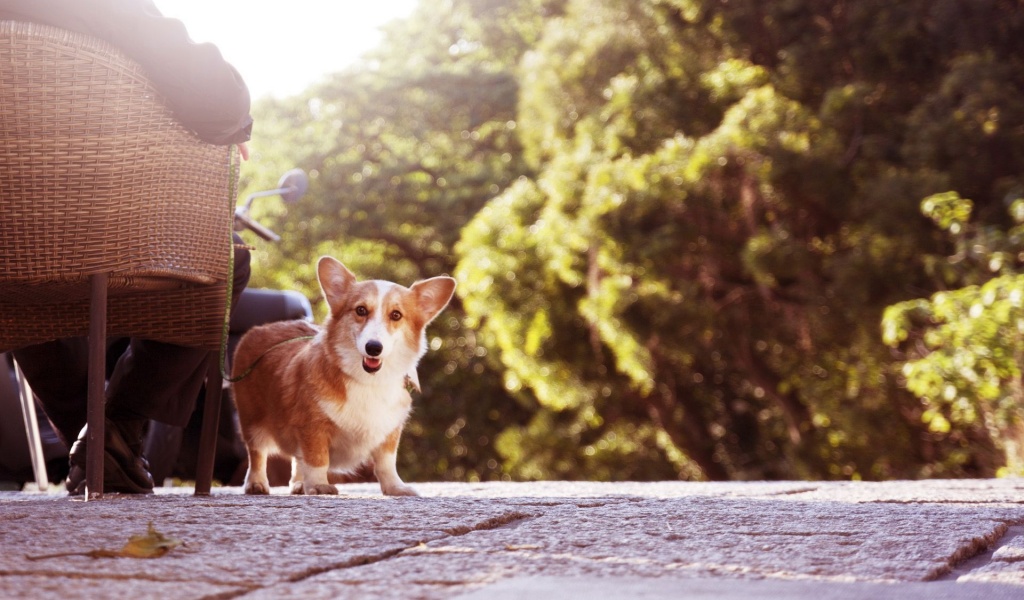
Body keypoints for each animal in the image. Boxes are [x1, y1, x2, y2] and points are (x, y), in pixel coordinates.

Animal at [234, 256, 458, 495]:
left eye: (396, 315)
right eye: (361, 310)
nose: (373, 348)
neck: (368, 382)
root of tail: (262, 328)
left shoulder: (390, 430)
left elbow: (387, 463)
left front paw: (395, 487)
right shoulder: (312, 427)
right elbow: (317, 459)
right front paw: (320, 485)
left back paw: (300, 484)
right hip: (251, 421)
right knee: (257, 453)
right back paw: (257, 483)